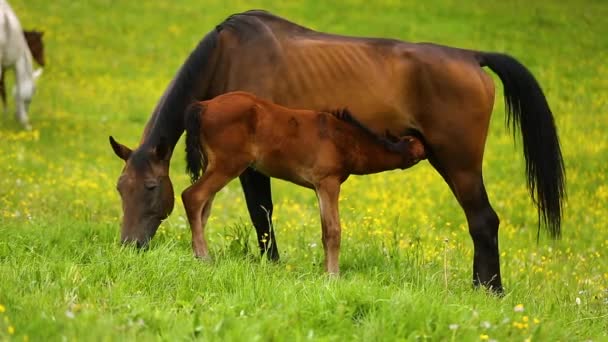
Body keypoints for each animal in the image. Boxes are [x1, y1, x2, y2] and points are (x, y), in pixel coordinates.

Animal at [173, 91, 426, 272]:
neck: (342, 138)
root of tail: (204, 106)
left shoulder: (319, 187)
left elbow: (324, 230)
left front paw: (326, 271)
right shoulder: (328, 182)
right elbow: (334, 230)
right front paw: (333, 276)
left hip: (214, 165)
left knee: (204, 207)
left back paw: (197, 252)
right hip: (229, 164)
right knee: (192, 196)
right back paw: (204, 256)